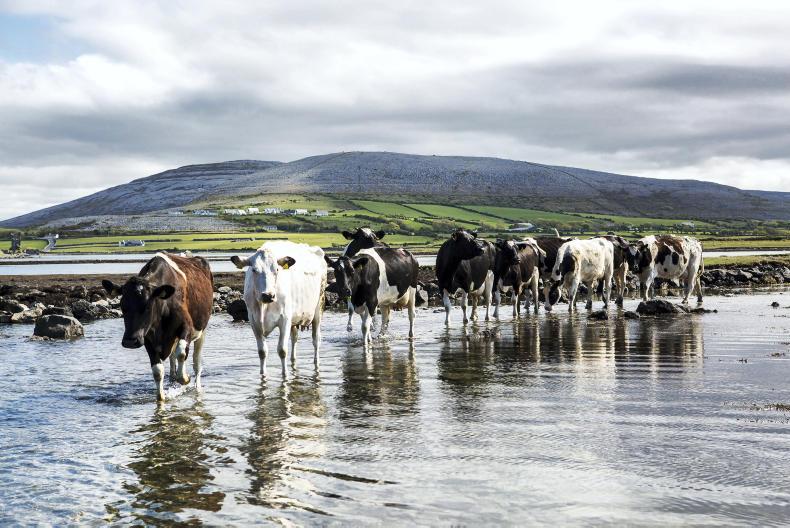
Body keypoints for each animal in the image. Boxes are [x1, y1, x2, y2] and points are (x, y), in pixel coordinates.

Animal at [102, 253, 214, 402]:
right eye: (122, 306)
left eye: (147, 306)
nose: (130, 341)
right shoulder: (147, 338)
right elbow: (157, 371)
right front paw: (161, 398)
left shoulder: (186, 327)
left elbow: (181, 353)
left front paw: (185, 378)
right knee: (173, 360)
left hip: (202, 330)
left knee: (196, 362)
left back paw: (196, 385)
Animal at [231, 241, 326, 377]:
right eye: (254, 270)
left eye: (276, 269)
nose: (268, 295)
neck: (263, 307)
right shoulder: (254, 321)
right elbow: (262, 351)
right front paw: (263, 374)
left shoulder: (284, 319)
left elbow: (282, 350)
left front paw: (285, 375)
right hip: (294, 318)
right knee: (294, 338)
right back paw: (293, 359)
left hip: (319, 307)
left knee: (316, 340)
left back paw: (316, 362)